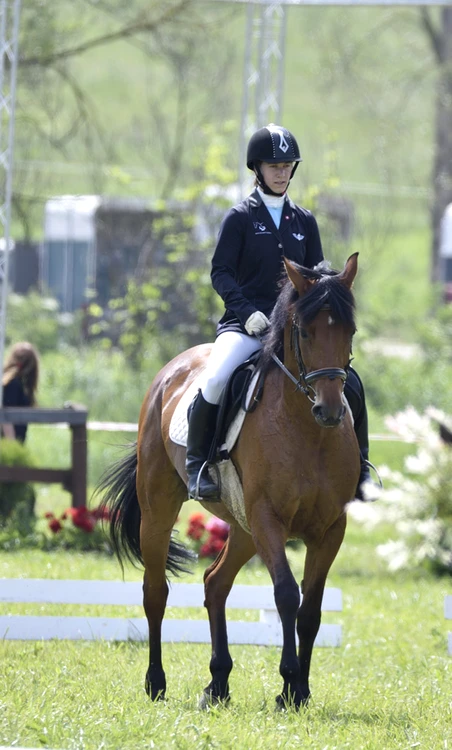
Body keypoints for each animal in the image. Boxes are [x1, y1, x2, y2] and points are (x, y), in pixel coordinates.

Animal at [100, 253, 362, 712]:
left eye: (349, 330)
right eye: (305, 331)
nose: (329, 410)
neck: (308, 432)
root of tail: (170, 371)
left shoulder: (331, 528)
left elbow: (311, 608)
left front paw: (300, 690)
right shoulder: (269, 518)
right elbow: (286, 595)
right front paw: (288, 685)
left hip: (242, 527)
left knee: (215, 583)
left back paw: (218, 683)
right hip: (162, 508)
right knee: (155, 591)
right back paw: (156, 683)